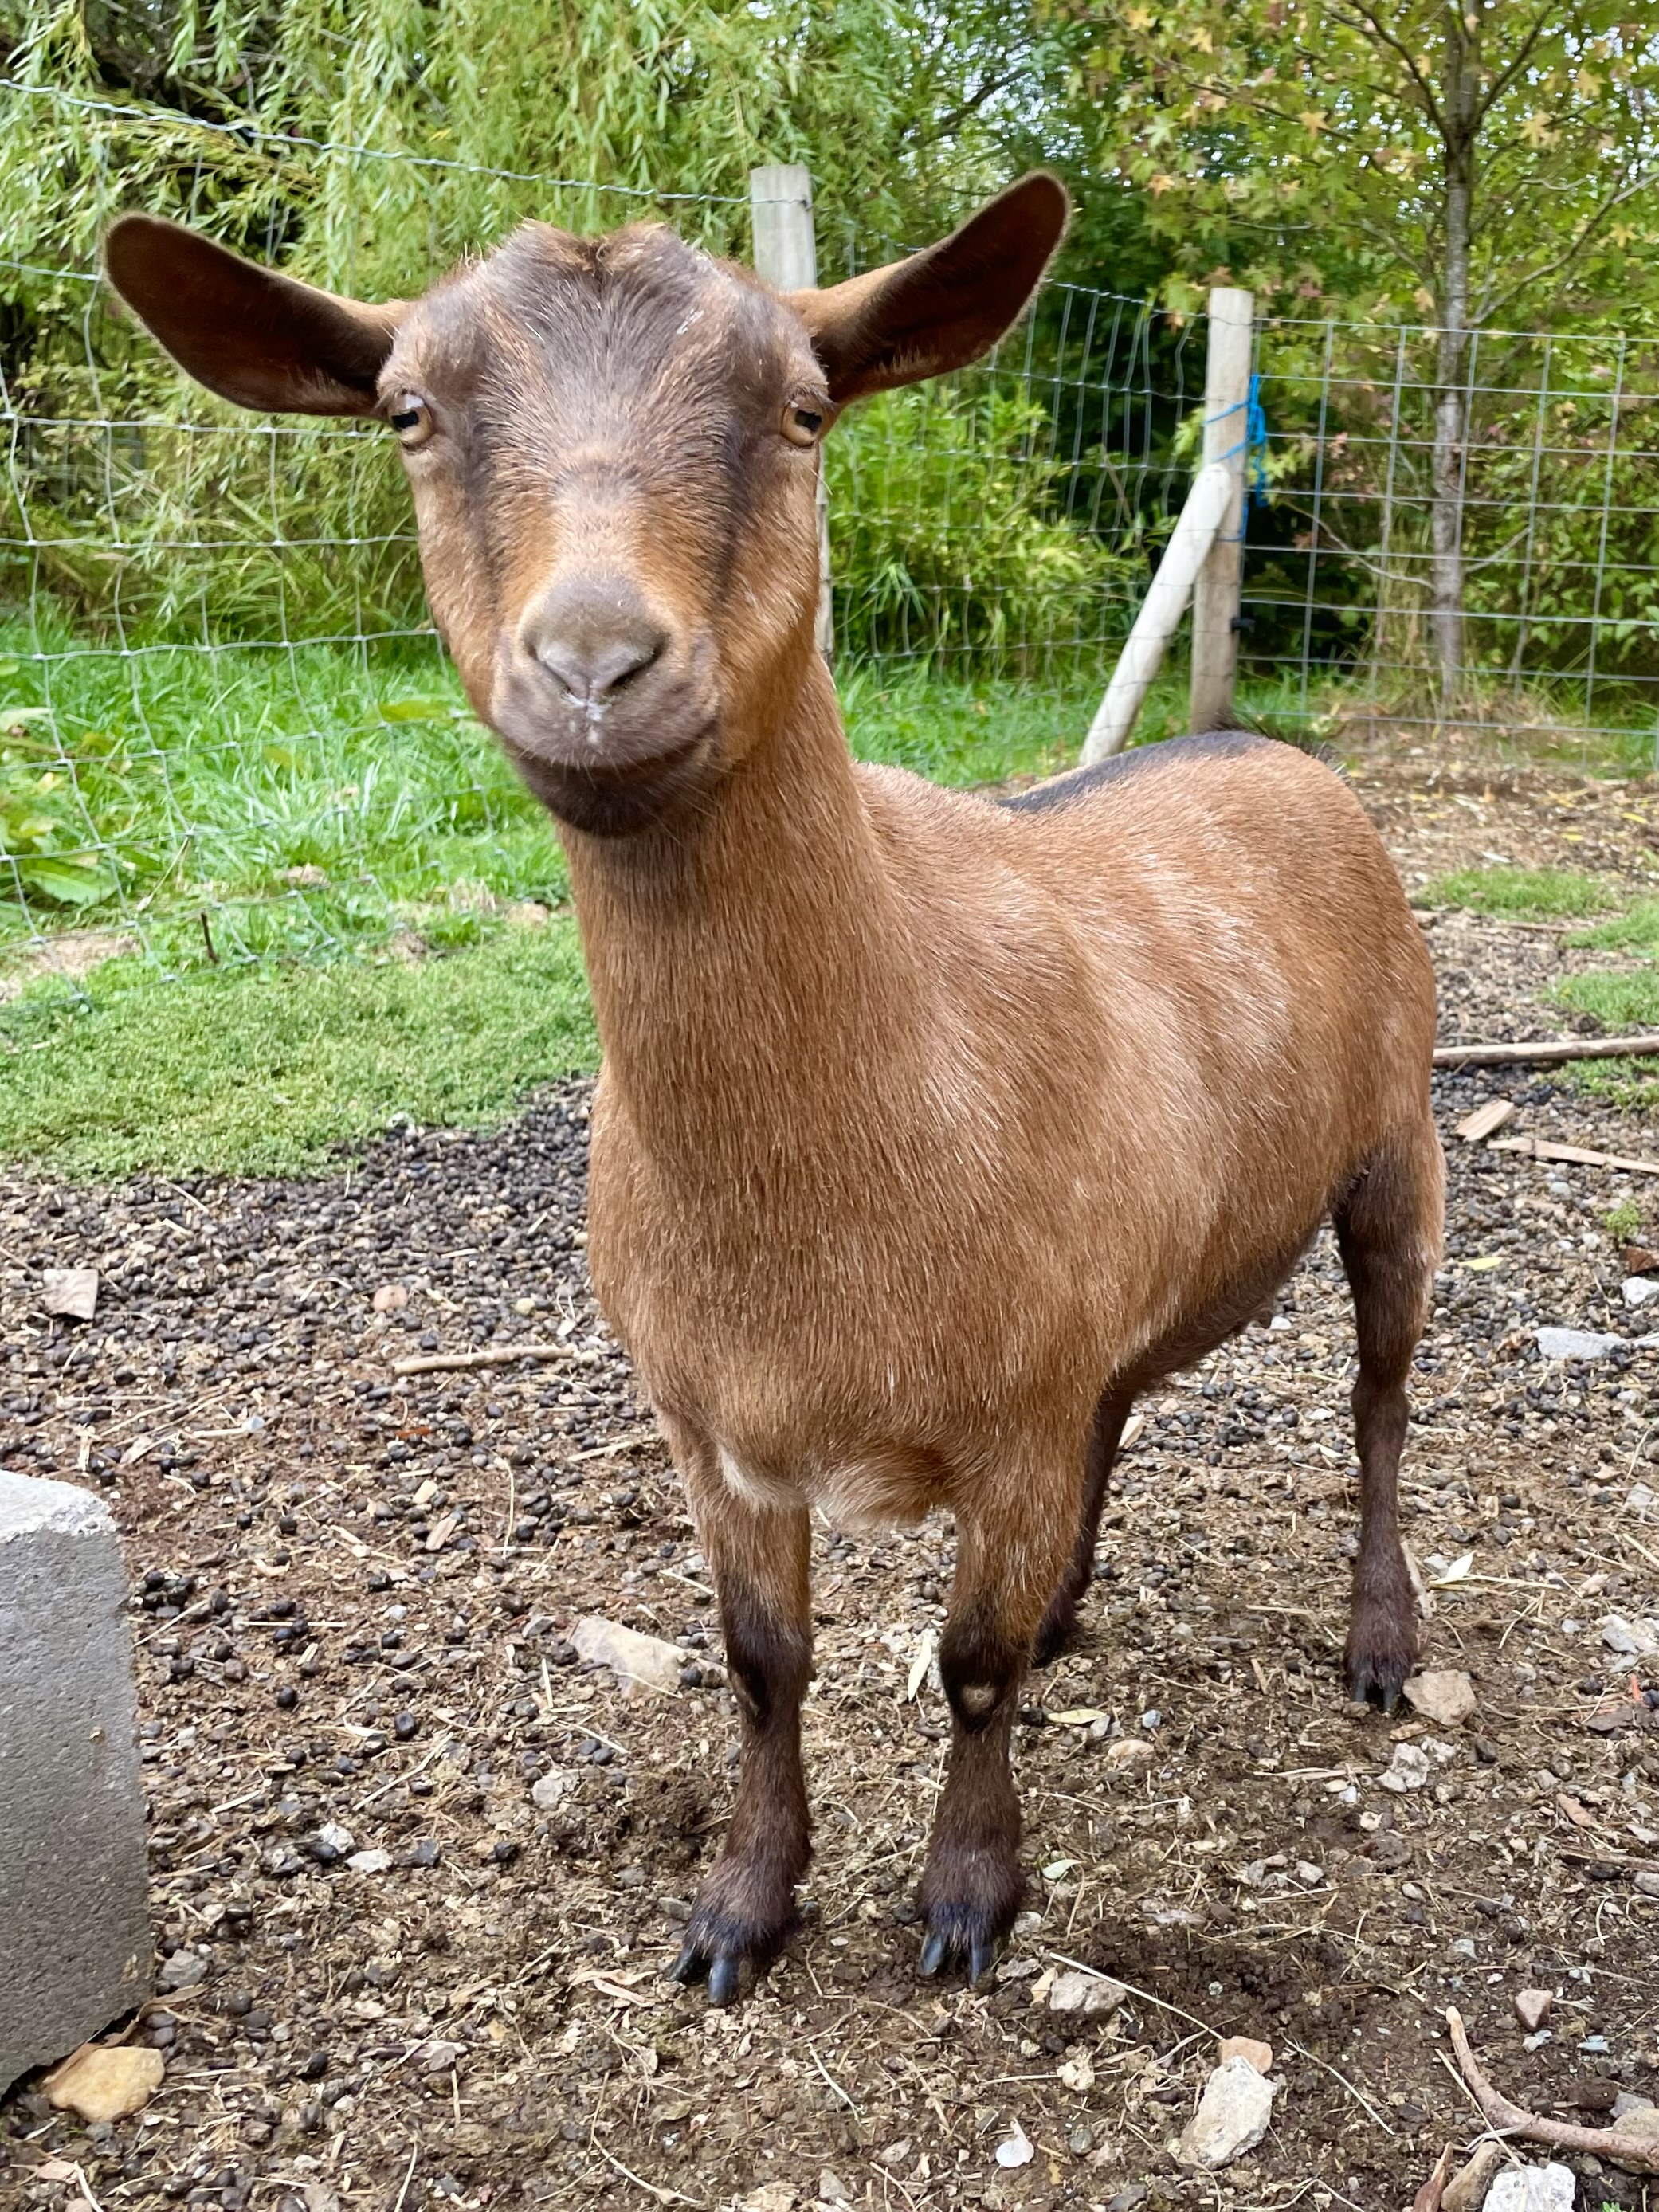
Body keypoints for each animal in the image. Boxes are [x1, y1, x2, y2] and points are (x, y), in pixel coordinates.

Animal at [107, 176, 1443, 2006]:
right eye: (407, 413)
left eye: (805, 411)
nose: (597, 664)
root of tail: (1272, 745)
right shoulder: (714, 1419)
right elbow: (758, 1660)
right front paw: (741, 1906)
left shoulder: (1006, 1406)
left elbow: (966, 1660)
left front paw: (968, 1896)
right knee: (1127, 1406)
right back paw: (1085, 1599)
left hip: (1399, 1145)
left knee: (1377, 1399)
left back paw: (1379, 1639)